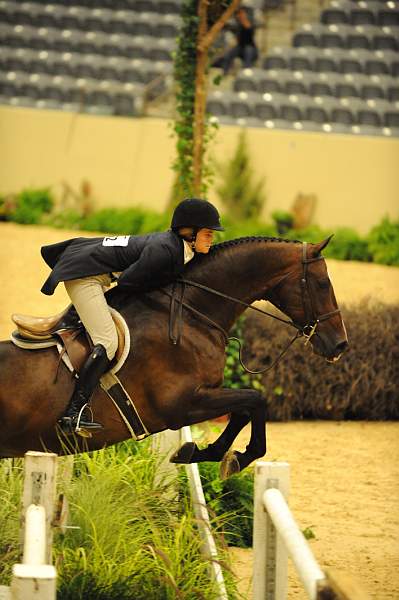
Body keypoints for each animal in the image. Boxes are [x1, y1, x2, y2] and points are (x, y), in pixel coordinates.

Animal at [0, 234, 346, 478]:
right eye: (322, 283)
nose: (340, 345)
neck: (193, 313)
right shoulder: (180, 405)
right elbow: (255, 400)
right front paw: (233, 457)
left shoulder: (201, 396)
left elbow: (246, 408)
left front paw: (202, 453)